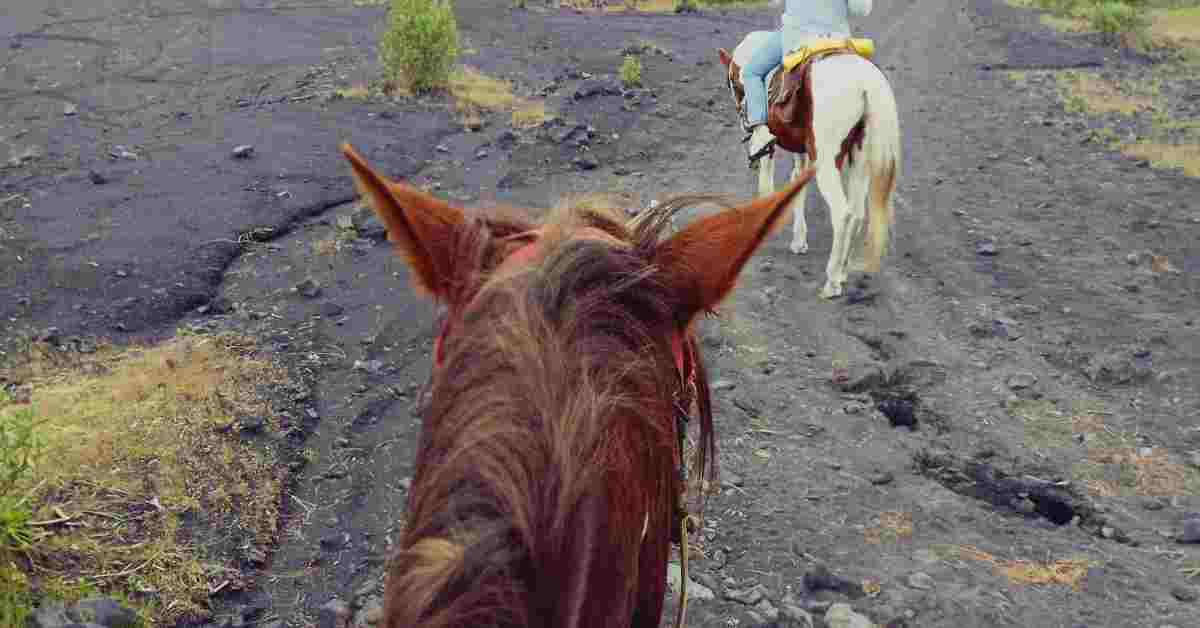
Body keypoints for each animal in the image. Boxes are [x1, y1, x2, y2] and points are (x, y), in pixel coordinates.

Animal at [717, 33, 902, 299]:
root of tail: (864, 84)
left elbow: (766, 185)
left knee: (843, 213)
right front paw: (799, 241)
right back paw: (842, 271)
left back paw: (832, 282)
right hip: (859, 159)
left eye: (732, 80)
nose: (742, 114)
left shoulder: (770, 149)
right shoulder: (803, 153)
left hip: (826, 161)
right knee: (857, 213)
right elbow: (797, 186)